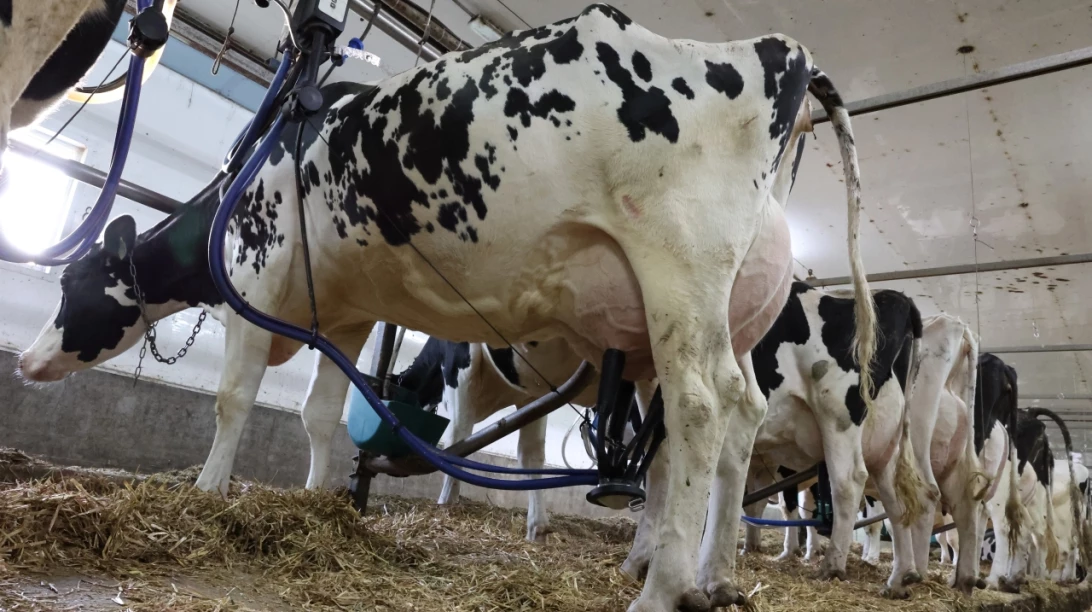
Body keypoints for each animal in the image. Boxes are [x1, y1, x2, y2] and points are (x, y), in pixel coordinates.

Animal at [18, 6, 877, 609]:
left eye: (74, 282)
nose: (27, 361)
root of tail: (777, 51)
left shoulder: (256, 281)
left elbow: (234, 398)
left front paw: (206, 492)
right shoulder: (343, 314)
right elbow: (320, 414)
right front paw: (318, 499)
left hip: (678, 267)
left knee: (702, 409)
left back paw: (664, 588)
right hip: (724, 309)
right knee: (736, 420)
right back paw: (718, 576)